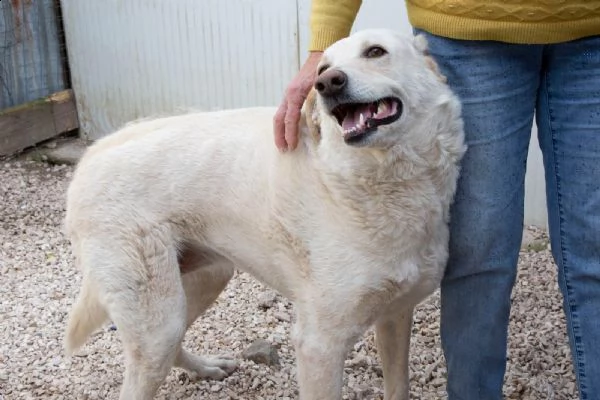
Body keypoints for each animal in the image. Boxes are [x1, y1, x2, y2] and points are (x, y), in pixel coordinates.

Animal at [63, 29, 466, 398]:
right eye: (323, 68)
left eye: (376, 52)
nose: (326, 84)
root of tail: (90, 157)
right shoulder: (319, 345)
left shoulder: (396, 314)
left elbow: (398, 385)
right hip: (156, 323)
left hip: (204, 280)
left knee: (175, 343)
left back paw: (206, 368)